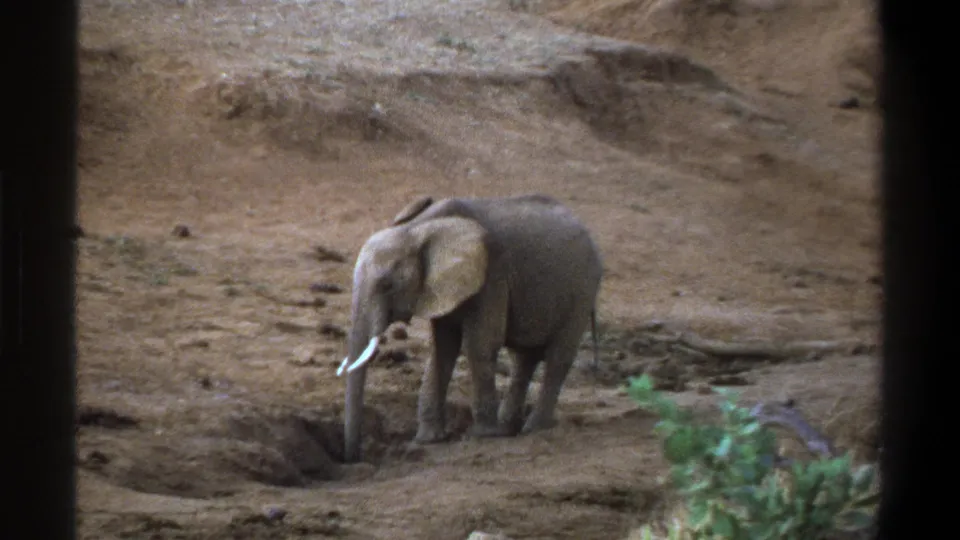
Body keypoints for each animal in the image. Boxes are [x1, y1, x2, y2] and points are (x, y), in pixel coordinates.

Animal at [336, 193, 603, 463]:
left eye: (387, 285)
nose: (353, 457)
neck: (417, 229)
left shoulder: (491, 273)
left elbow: (480, 344)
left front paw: (483, 435)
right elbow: (443, 348)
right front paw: (429, 440)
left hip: (583, 291)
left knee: (558, 357)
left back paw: (533, 428)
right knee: (523, 358)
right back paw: (508, 428)